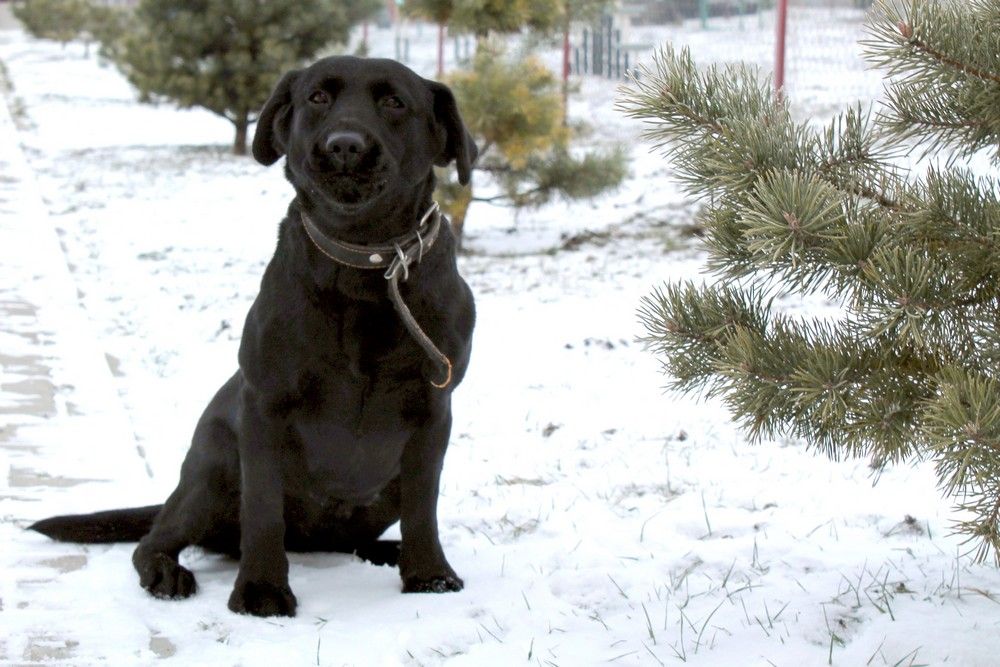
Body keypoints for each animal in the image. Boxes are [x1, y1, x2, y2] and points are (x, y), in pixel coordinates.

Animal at [30, 54, 480, 620]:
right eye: (317, 97)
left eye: (395, 102)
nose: (345, 145)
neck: (362, 264)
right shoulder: (265, 408)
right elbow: (263, 509)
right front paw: (261, 591)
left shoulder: (433, 412)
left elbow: (424, 505)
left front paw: (429, 575)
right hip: (215, 471)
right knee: (154, 539)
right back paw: (165, 572)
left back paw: (387, 551)